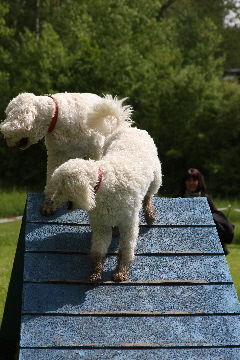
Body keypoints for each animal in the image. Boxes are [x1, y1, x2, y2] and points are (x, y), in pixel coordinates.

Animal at [0, 93, 131, 217]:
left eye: (8, 115)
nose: (5, 139)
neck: (57, 114)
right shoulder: (56, 154)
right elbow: (52, 180)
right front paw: (49, 204)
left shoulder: (95, 150)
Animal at [52, 125, 161, 282]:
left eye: (61, 189)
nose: (52, 201)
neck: (103, 183)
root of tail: (130, 127)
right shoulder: (101, 225)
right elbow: (98, 250)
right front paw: (95, 272)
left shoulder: (129, 223)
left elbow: (126, 248)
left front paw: (121, 271)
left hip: (156, 177)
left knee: (148, 196)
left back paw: (149, 215)